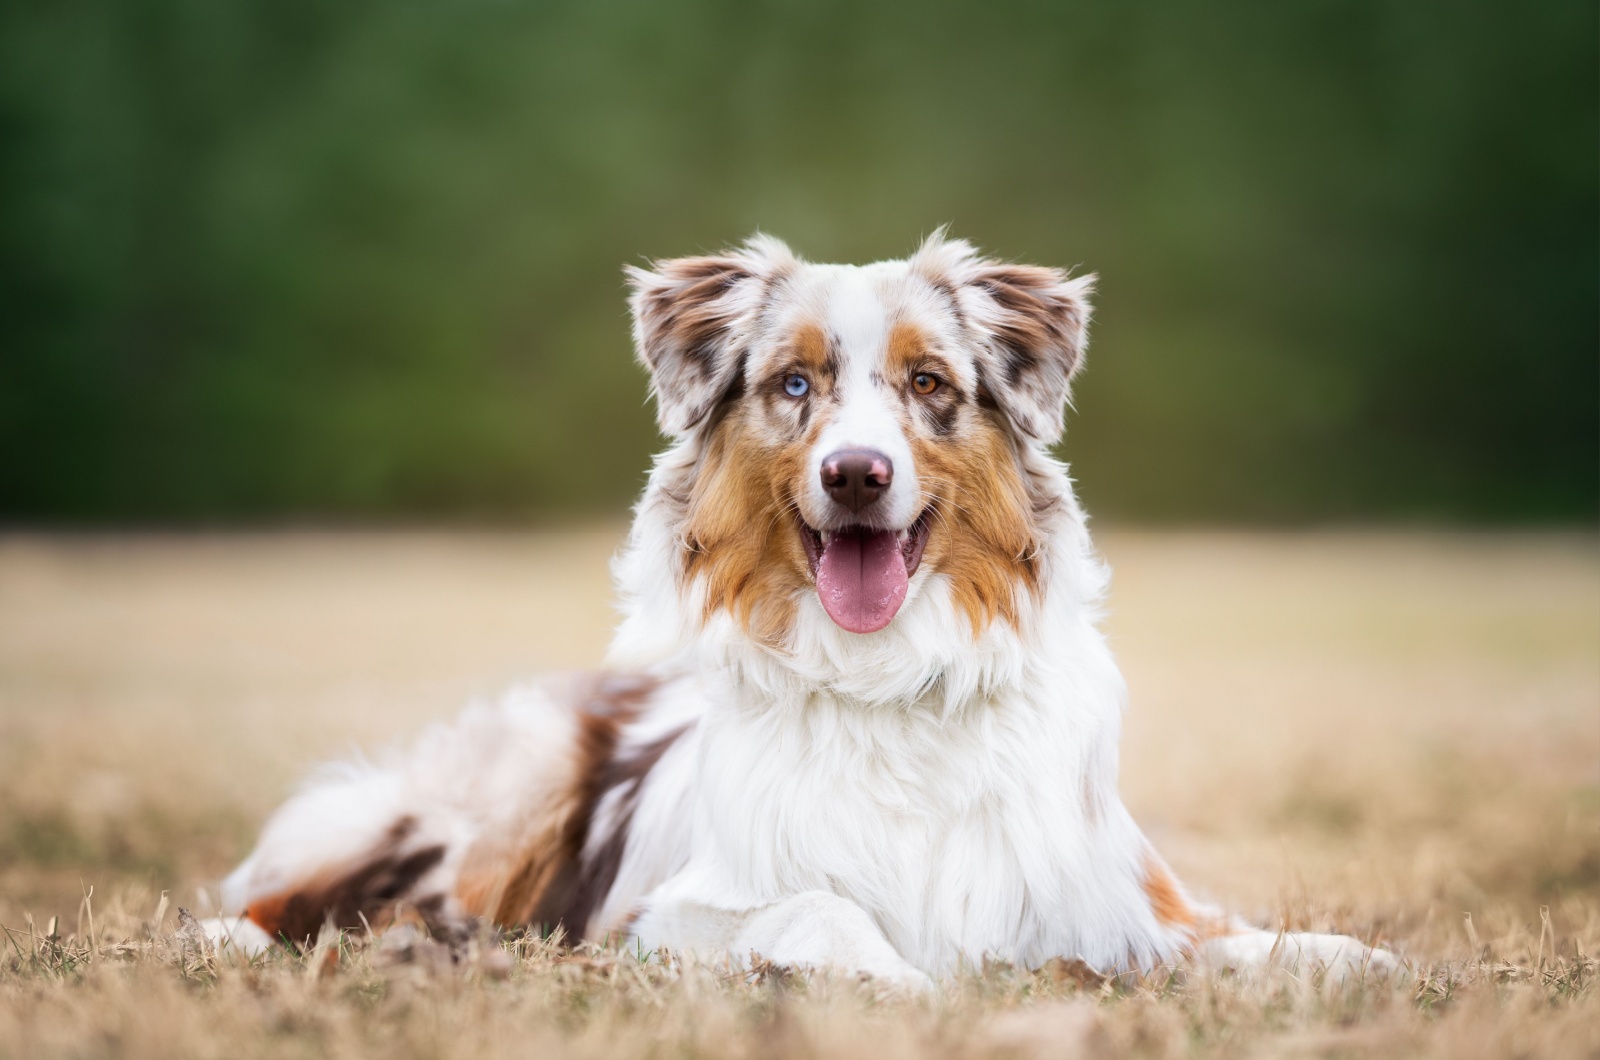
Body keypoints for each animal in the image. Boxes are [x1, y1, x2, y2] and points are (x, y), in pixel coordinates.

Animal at [206, 232, 1395, 986]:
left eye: (928, 384)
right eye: (793, 384)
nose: (857, 474)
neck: (889, 683)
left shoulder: (1119, 901)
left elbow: (1264, 945)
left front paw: (1352, 959)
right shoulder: (666, 912)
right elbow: (822, 906)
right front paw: (903, 984)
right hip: (502, 798)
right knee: (295, 896)